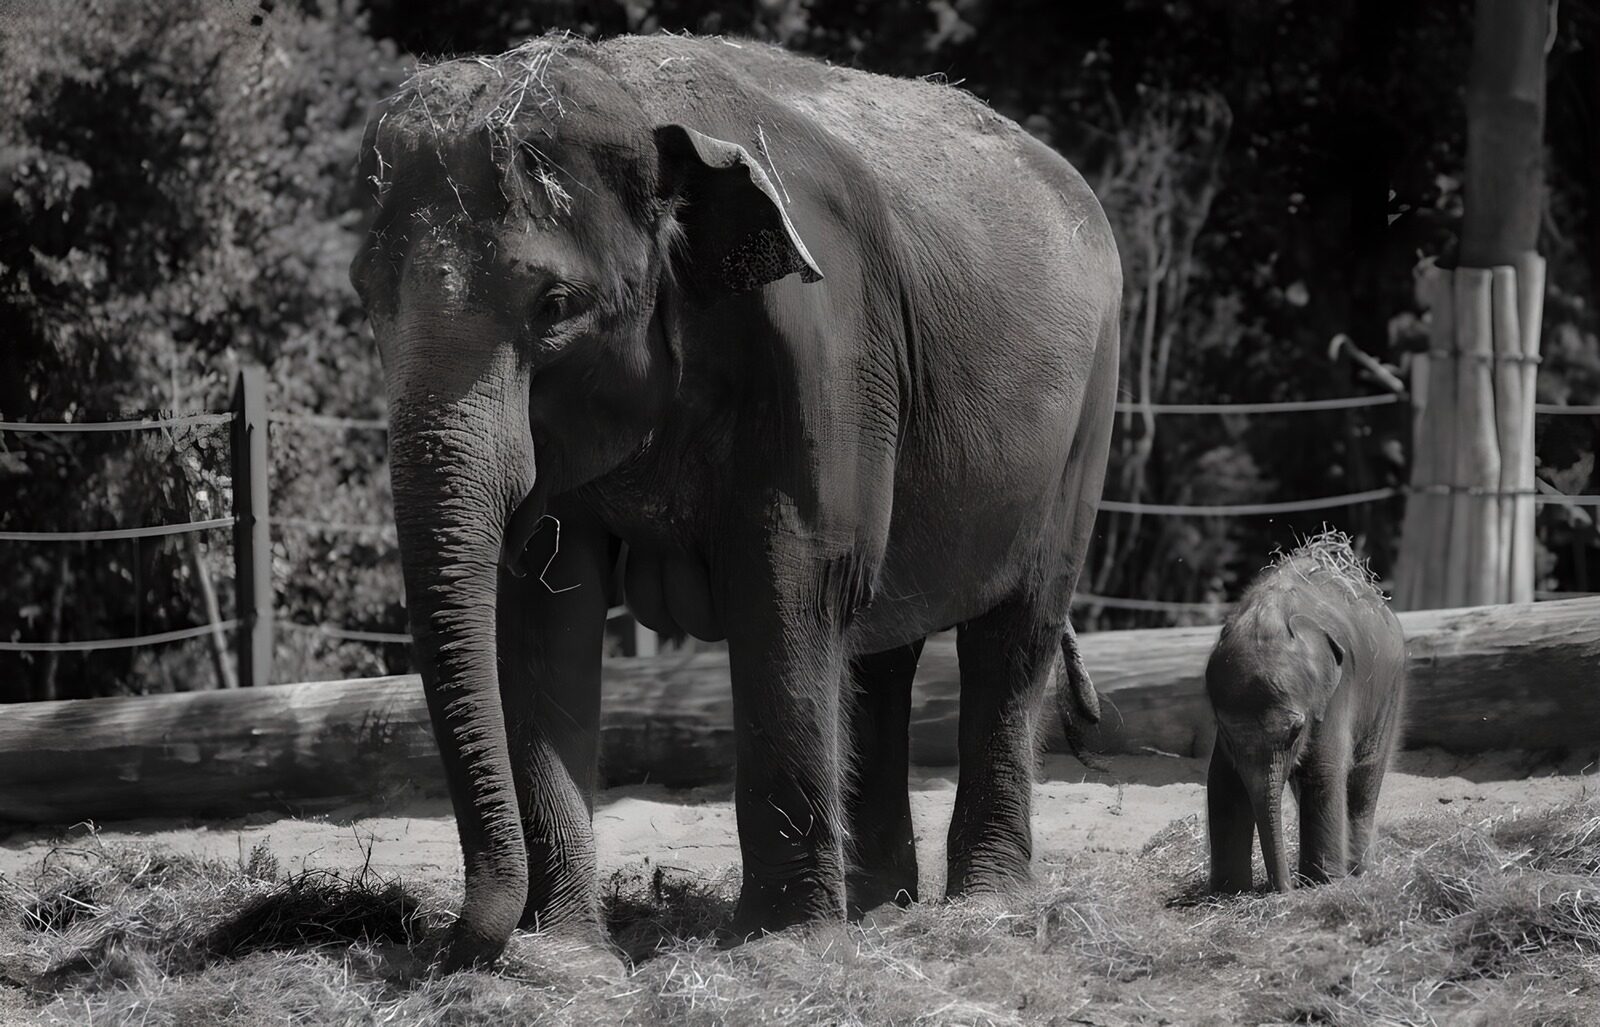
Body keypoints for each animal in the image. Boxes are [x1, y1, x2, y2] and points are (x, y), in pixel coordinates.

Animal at [349, 32, 1121, 969]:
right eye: (365, 296)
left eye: (555, 304)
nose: (434, 943)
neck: (642, 107)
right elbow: (545, 614)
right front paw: (566, 956)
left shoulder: (825, 343)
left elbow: (792, 580)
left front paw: (780, 943)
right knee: (883, 645)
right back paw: (881, 906)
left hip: (1085, 423)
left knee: (1012, 633)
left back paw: (984, 907)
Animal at [1204, 532, 1407, 894]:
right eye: (1226, 732)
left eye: (1296, 731)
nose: (1280, 889)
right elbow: (1222, 780)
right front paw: (1229, 891)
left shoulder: (1336, 693)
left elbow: (1323, 770)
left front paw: (1322, 883)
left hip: (1390, 690)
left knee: (1364, 778)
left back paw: (1360, 871)